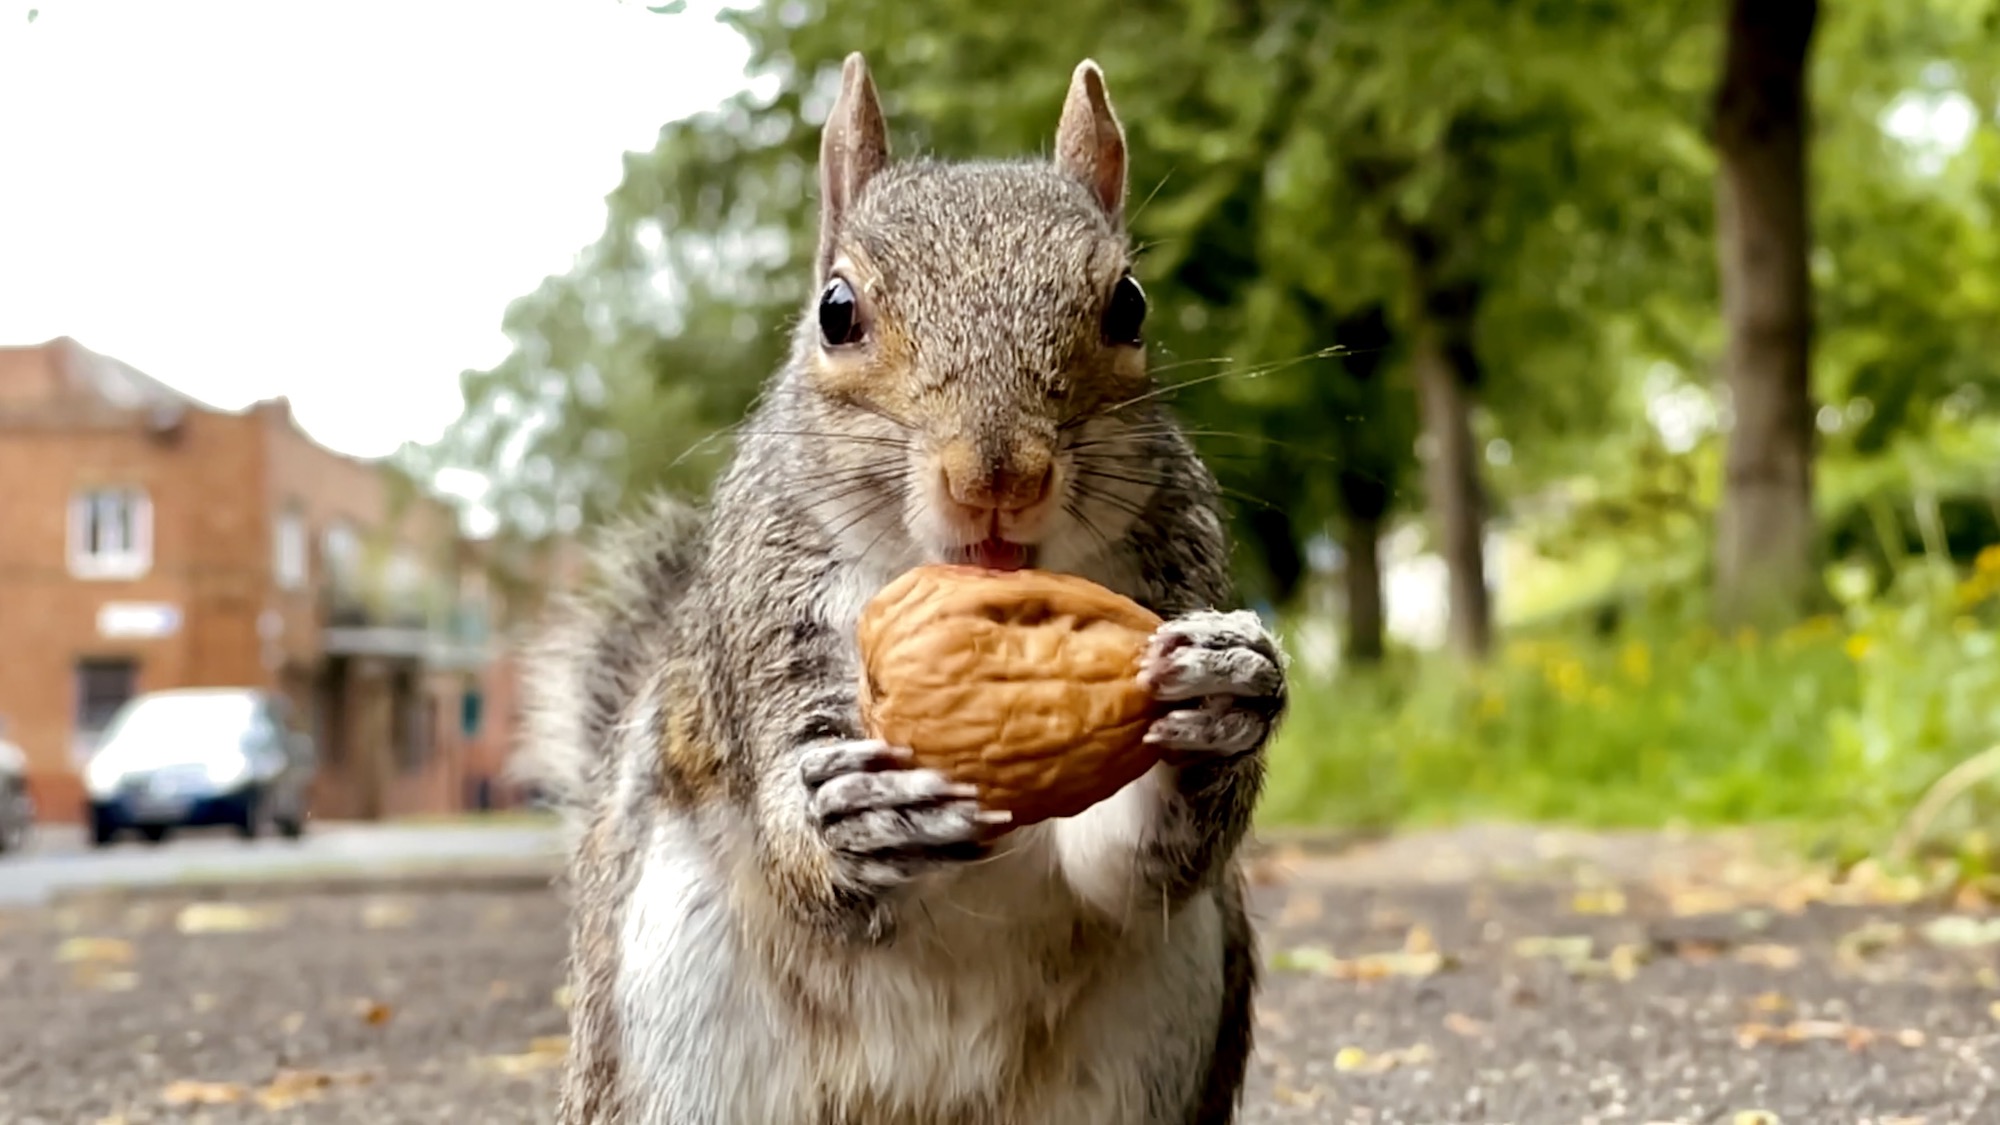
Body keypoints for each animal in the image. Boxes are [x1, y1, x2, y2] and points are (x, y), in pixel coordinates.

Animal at [518, 52, 1288, 1125]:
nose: (996, 477)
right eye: (837, 312)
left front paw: (1221, 690)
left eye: (1129, 304)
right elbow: (802, 850)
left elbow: (1132, 863)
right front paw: (845, 819)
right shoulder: (767, 618)